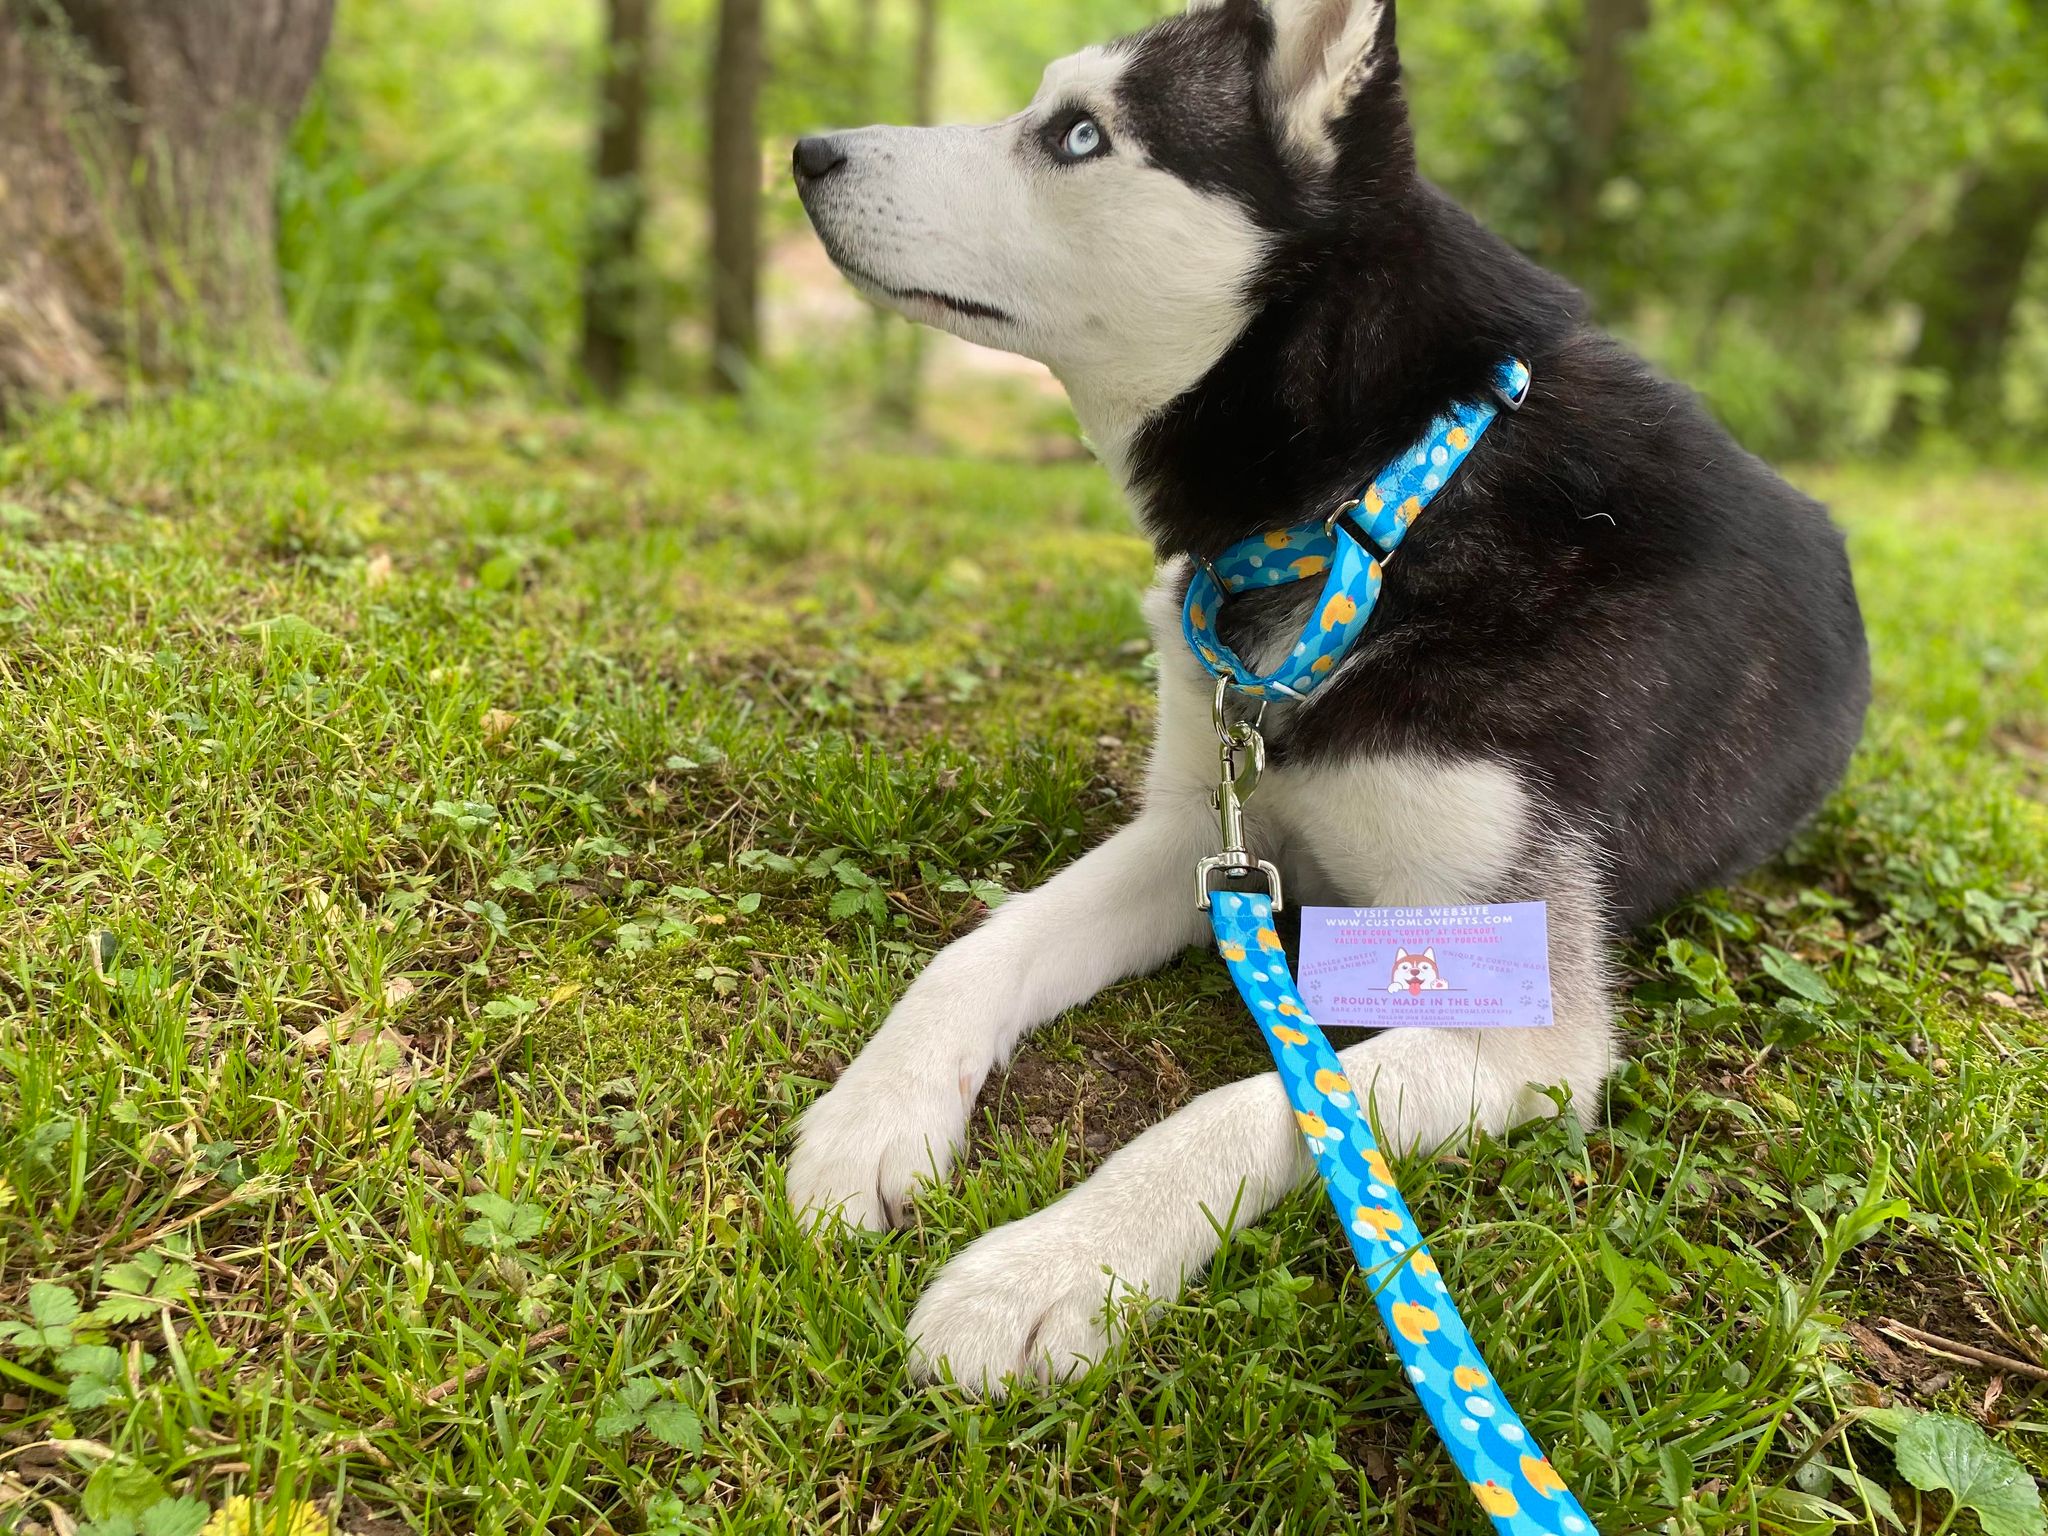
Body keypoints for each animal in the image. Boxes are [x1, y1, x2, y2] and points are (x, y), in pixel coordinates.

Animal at [782, 0, 1875, 1392]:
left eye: (1077, 134)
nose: (806, 151)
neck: (1376, 510)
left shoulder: (1521, 1035)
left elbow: (1264, 1103)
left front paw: (1047, 1272)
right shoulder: (1206, 836)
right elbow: (979, 946)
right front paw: (874, 1114)